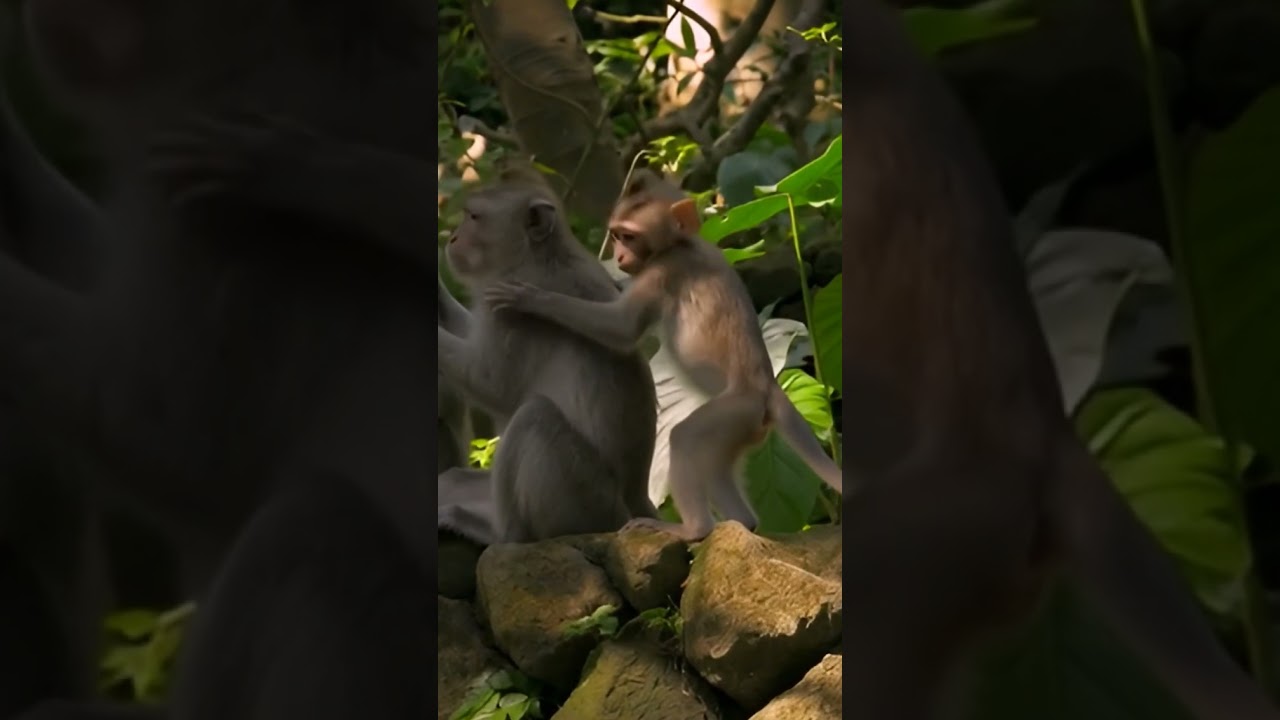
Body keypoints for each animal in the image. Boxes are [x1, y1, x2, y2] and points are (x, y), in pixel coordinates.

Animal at [482, 169, 843, 542]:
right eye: (616, 235)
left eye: (629, 236)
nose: (620, 258)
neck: (680, 245)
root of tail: (768, 388)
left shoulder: (661, 273)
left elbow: (621, 330)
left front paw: (531, 299)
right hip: (742, 429)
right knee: (716, 466)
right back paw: (741, 522)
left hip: (734, 411)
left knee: (683, 439)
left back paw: (693, 529)